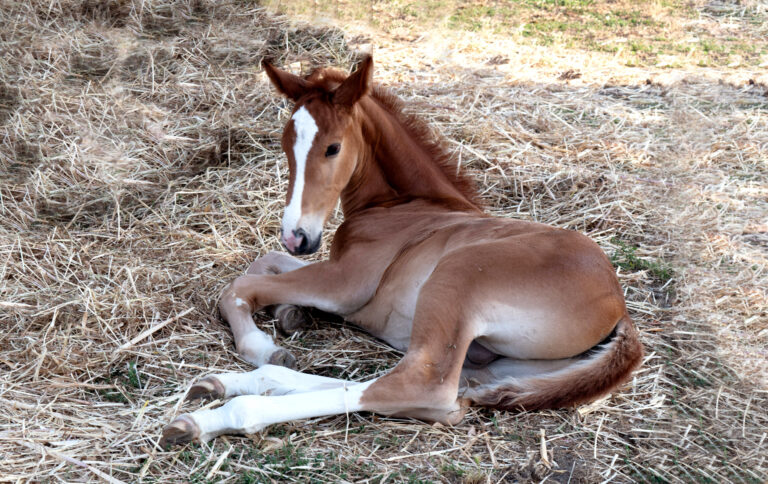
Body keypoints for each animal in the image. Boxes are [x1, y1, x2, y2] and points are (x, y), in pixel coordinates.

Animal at [160, 55, 643, 446]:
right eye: (284, 145)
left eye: (333, 147)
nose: (296, 235)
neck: (403, 205)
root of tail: (619, 309)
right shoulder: (333, 267)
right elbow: (266, 264)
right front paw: (290, 313)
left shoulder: (345, 283)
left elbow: (239, 285)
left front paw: (262, 342)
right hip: (496, 366)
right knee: (446, 395)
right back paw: (231, 384)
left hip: (457, 275)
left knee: (419, 387)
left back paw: (218, 414)